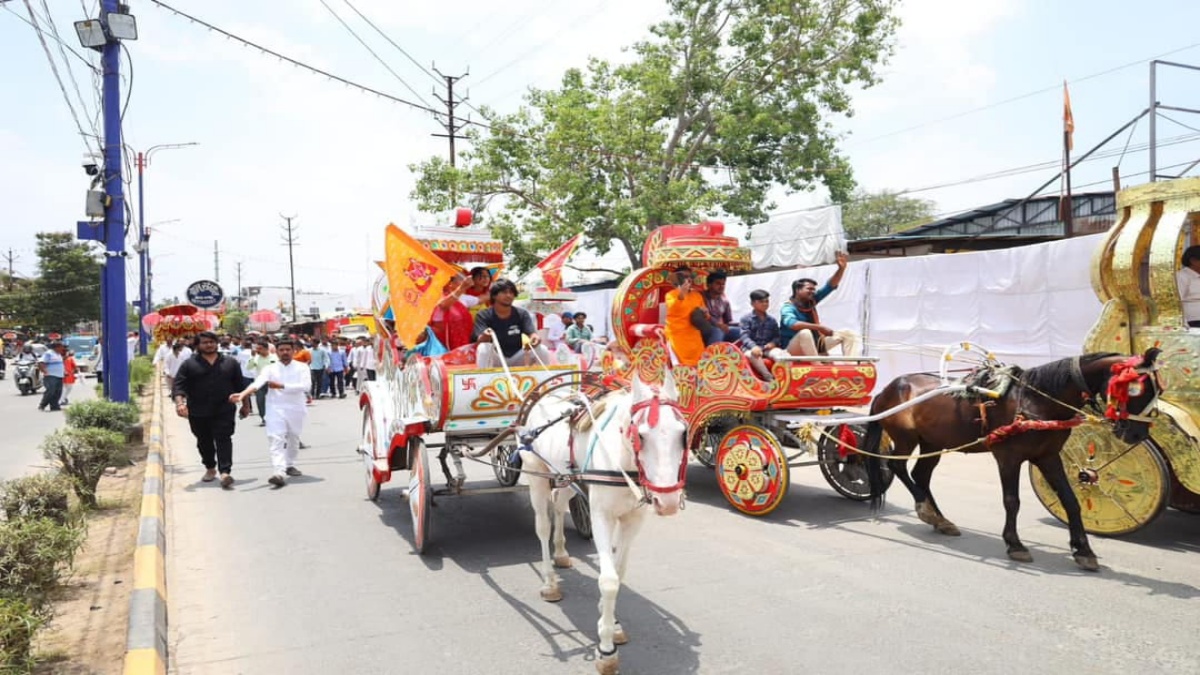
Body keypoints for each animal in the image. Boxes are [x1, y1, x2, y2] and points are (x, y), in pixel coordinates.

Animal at [520, 369, 691, 667]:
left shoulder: (633, 519)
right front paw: (607, 645)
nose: (668, 502)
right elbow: (609, 580)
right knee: (542, 525)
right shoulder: (601, 516)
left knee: (559, 503)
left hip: (567, 479)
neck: (624, 461)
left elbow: (619, 572)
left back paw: (561, 552)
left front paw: (611, 619)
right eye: (641, 436)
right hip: (536, 475)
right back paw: (549, 581)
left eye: (683, 433)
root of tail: (547, 394)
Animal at [864, 345, 1161, 566]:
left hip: (933, 442)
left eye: (1159, 389)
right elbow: (1012, 501)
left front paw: (1083, 550)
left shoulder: (1048, 457)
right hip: (906, 438)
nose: (1137, 434)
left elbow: (1070, 500)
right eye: (1134, 388)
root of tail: (889, 388)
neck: (1035, 400)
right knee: (899, 468)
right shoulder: (1008, 457)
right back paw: (926, 510)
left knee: (921, 475)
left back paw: (939, 518)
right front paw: (1015, 544)